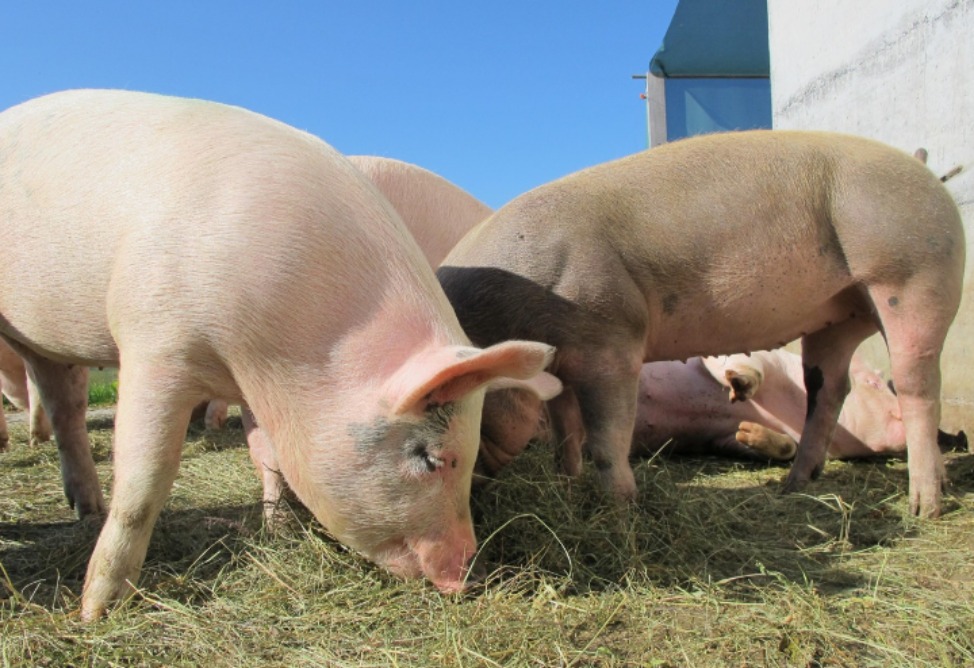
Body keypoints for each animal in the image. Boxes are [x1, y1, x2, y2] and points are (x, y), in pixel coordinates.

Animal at [438, 130, 965, 518]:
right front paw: (568, 486)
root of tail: (927, 174)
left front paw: (621, 510)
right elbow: (567, 432)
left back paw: (924, 507)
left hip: (913, 275)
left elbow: (607, 436)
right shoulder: (564, 362)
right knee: (828, 390)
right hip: (840, 315)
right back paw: (793, 486)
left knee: (919, 386)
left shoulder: (609, 340)